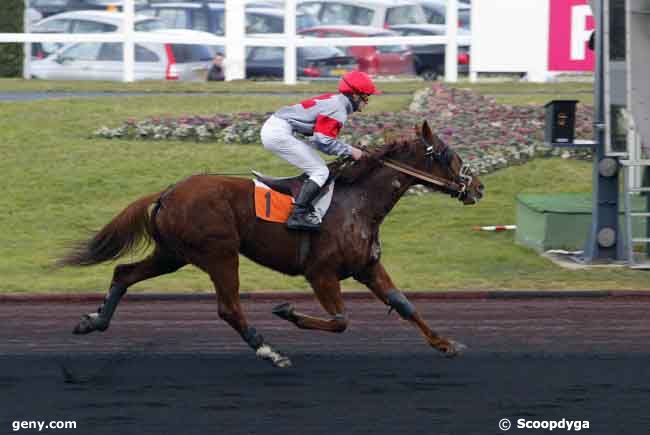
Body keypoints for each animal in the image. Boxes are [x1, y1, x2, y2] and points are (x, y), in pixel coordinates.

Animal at [59, 120, 480, 368]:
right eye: (448, 155)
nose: (477, 187)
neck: (357, 202)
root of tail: (167, 192)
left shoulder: (366, 266)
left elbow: (404, 305)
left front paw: (445, 344)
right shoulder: (321, 273)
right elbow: (340, 321)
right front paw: (286, 310)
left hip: (173, 253)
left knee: (123, 273)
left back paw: (93, 321)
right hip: (220, 254)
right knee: (229, 307)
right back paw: (270, 351)